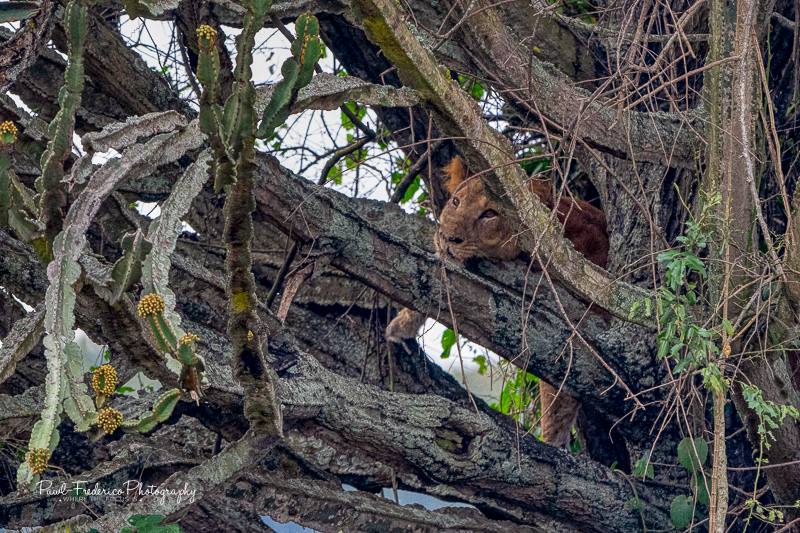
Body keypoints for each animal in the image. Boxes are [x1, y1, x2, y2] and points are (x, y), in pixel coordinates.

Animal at [389, 156, 609, 448]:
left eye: (490, 214)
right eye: (456, 201)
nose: (448, 238)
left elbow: (556, 399)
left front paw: (551, 446)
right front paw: (401, 325)